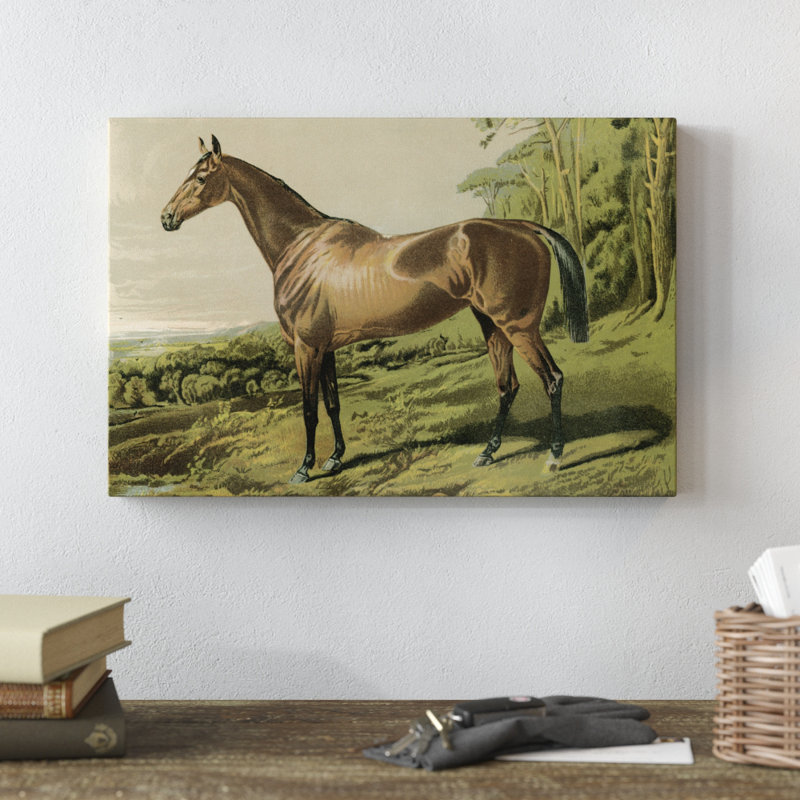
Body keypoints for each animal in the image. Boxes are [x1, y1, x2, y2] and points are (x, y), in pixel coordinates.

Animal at [161, 135, 589, 484]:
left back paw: (554, 458)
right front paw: (335, 459)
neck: (302, 246)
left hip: (518, 327)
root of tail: (523, 227)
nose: (166, 218)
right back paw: (487, 453)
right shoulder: (325, 348)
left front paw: (304, 468)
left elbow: (309, 409)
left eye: (201, 179)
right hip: (492, 325)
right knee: (506, 386)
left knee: (552, 379)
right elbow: (332, 403)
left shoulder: (305, 347)